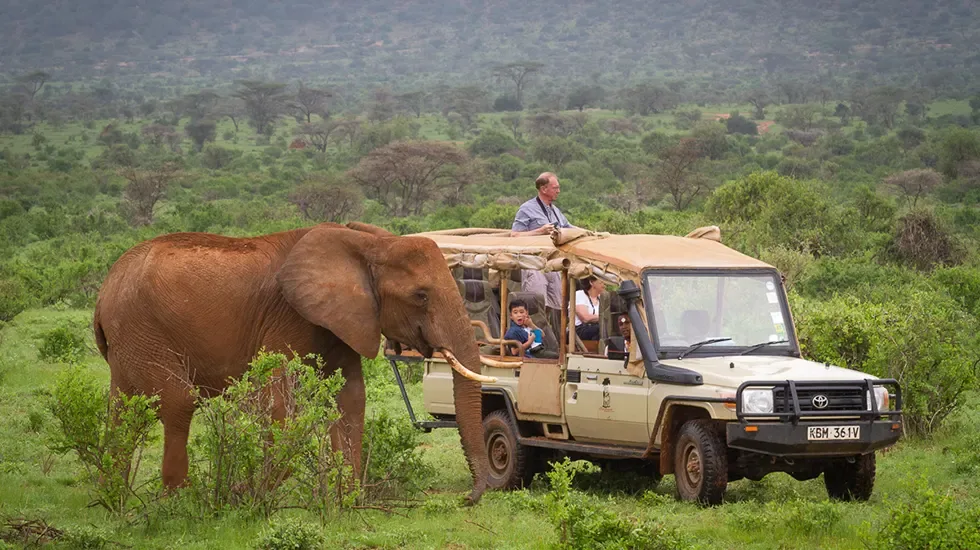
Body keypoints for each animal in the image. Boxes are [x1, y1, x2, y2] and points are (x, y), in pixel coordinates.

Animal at [93, 221, 491, 503]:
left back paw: (113, 496)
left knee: (121, 408)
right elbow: (279, 400)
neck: (368, 245)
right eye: (421, 296)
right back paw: (179, 500)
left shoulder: (342, 320)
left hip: (129, 339)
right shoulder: (288, 316)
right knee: (178, 401)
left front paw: (348, 498)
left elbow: (351, 398)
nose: (468, 498)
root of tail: (105, 288)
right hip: (141, 327)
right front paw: (247, 493)